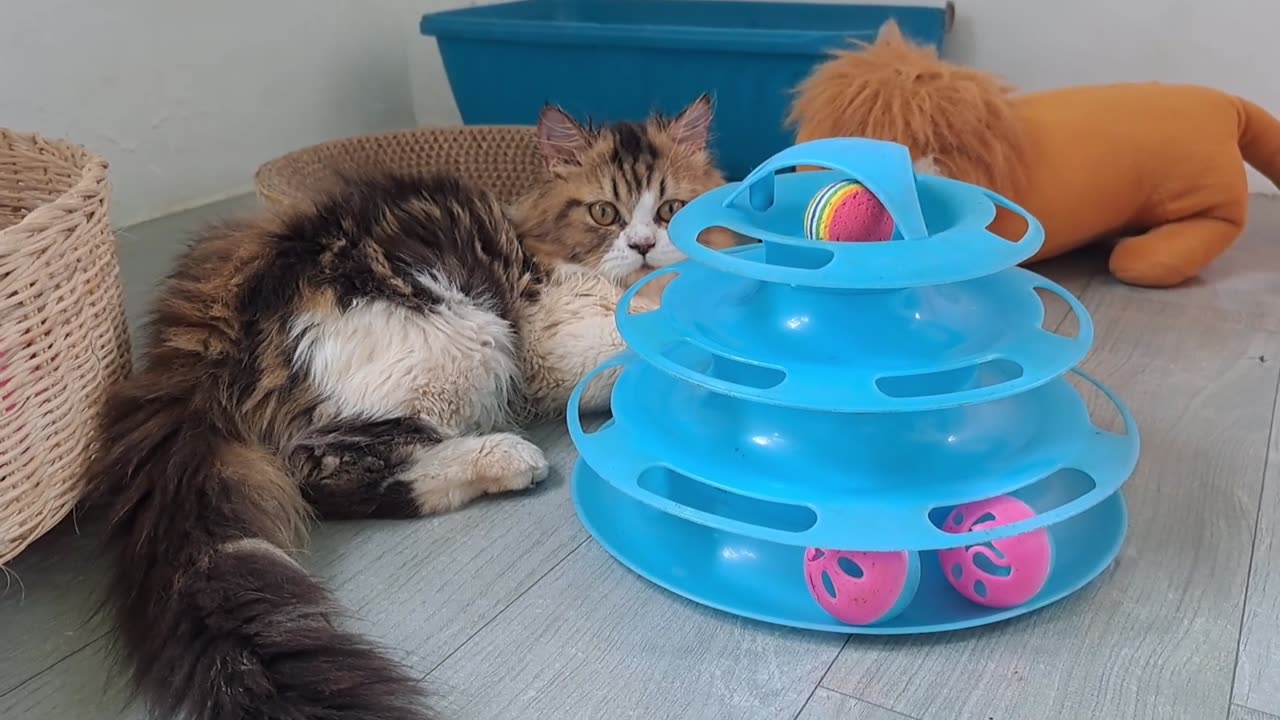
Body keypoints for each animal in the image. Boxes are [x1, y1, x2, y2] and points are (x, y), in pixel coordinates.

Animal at [90, 98, 727, 717]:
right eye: (604, 213)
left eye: (671, 209)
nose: (643, 246)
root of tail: (213, 319)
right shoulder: (549, 345)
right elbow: (645, 341)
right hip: (462, 337)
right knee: (324, 472)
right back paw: (507, 458)